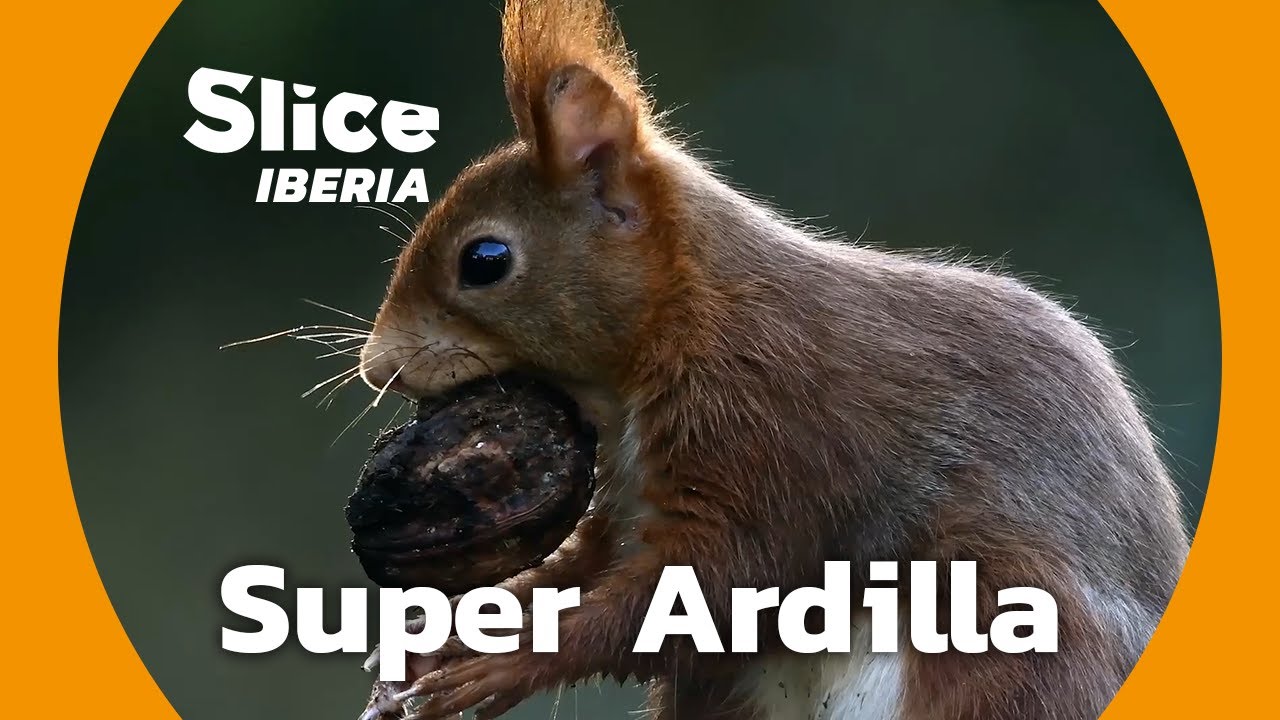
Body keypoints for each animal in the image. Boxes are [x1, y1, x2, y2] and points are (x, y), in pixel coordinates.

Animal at [355, 1, 1190, 718]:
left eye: (485, 260)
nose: (374, 368)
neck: (685, 320)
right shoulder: (631, 497)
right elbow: (589, 566)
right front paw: (442, 638)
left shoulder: (777, 430)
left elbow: (715, 586)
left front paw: (508, 664)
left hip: (1006, 649)